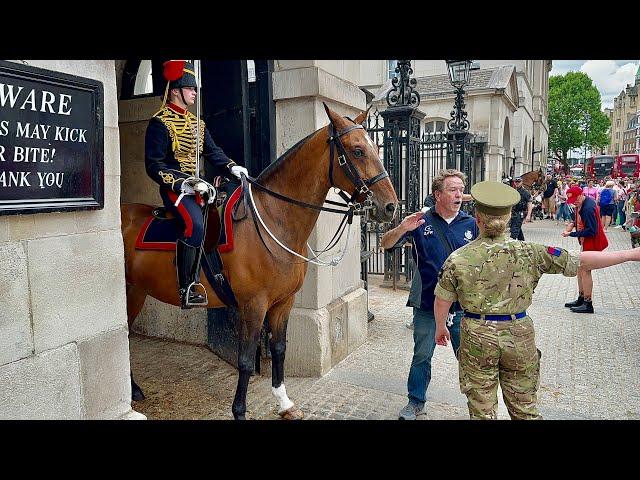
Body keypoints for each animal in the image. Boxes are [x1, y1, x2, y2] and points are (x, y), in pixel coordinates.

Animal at [120, 102, 398, 420]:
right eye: (357, 150)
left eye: (373, 146)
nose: (390, 206)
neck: (273, 219)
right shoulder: (253, 305)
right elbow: (244, 359)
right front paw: (240, 411)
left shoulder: (283, 302)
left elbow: (279, 348)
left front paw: (284, 402)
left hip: (136, 291)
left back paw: (134, 389)